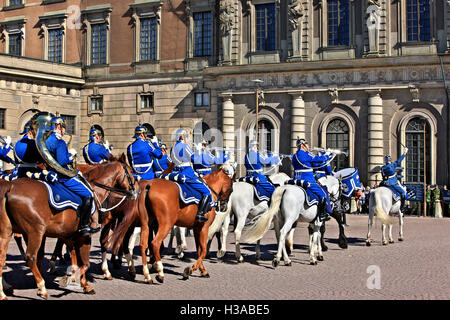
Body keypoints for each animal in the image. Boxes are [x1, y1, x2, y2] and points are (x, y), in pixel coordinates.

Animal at [0, 155, 137, 300]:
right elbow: (85, 262)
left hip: (7, 232)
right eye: (130, 172)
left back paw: (4, 291)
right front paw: (72, 279)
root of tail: (10, 187)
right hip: (35, 232)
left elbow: (77, 256)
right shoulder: (85, 236)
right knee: (30, 257)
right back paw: (41, 287)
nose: (137, 191)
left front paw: (81, 282)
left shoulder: (69, 233)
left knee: (2, 258)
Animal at [108, 166, 236, 284]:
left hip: (145, 224)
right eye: (231, 189)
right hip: (165, 224)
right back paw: (159, 273)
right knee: (154, 243)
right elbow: (203, 250)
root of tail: (148, 184)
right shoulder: (204, 228)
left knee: (141, 245)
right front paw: (190, 270)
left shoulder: (197, 228)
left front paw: (203, 270)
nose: (224, 207)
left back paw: (145, 274)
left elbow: (199, 250)